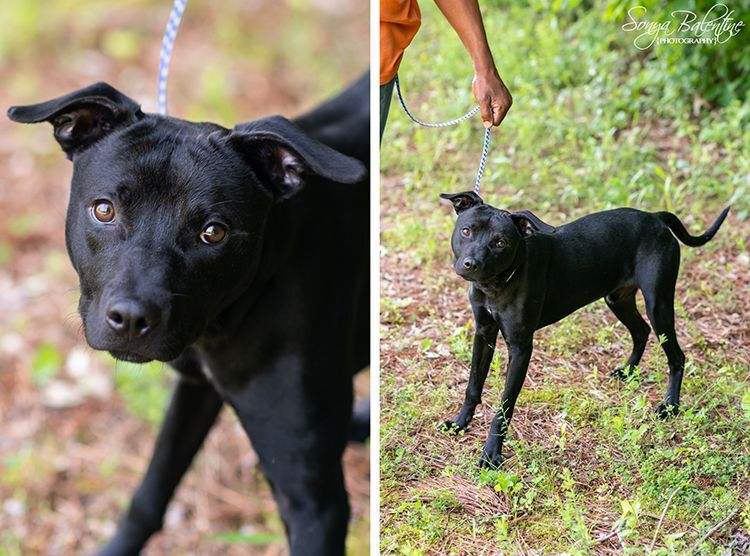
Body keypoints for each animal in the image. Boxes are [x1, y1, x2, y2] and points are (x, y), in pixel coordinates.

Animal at [5, 74, 370, 556]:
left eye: (212, 232)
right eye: (104, 209)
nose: (131, 319)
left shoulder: (314, 500)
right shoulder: (196, 388)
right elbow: (151, 491)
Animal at [440, 192, 728, 470]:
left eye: (501, 243)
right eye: (466, 231)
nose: (472, 264)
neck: (498, 283)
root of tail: (655, 217)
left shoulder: (520, 348)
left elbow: (504, 407)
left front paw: (491, 453)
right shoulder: (484, 333)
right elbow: (473, 385)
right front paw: (460, 423)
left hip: (658, 304)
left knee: (676, 356)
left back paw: (670, 405)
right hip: (618, 299)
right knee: (641, 331)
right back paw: (627, 371)